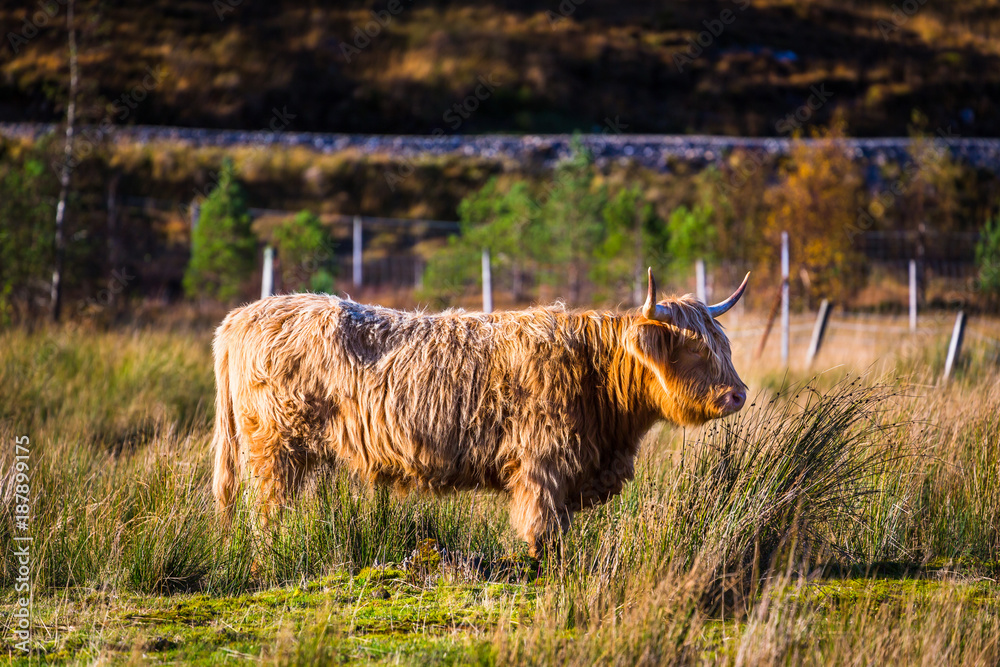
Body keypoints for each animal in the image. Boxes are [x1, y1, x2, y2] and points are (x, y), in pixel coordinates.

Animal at [211, 269, 749, 556]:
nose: (738, 395)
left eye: (723, 344)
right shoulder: (543, 467)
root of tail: (243, 314)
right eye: (693, 349)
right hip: (273, 448)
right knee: (266, 513)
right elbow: (541, 532)